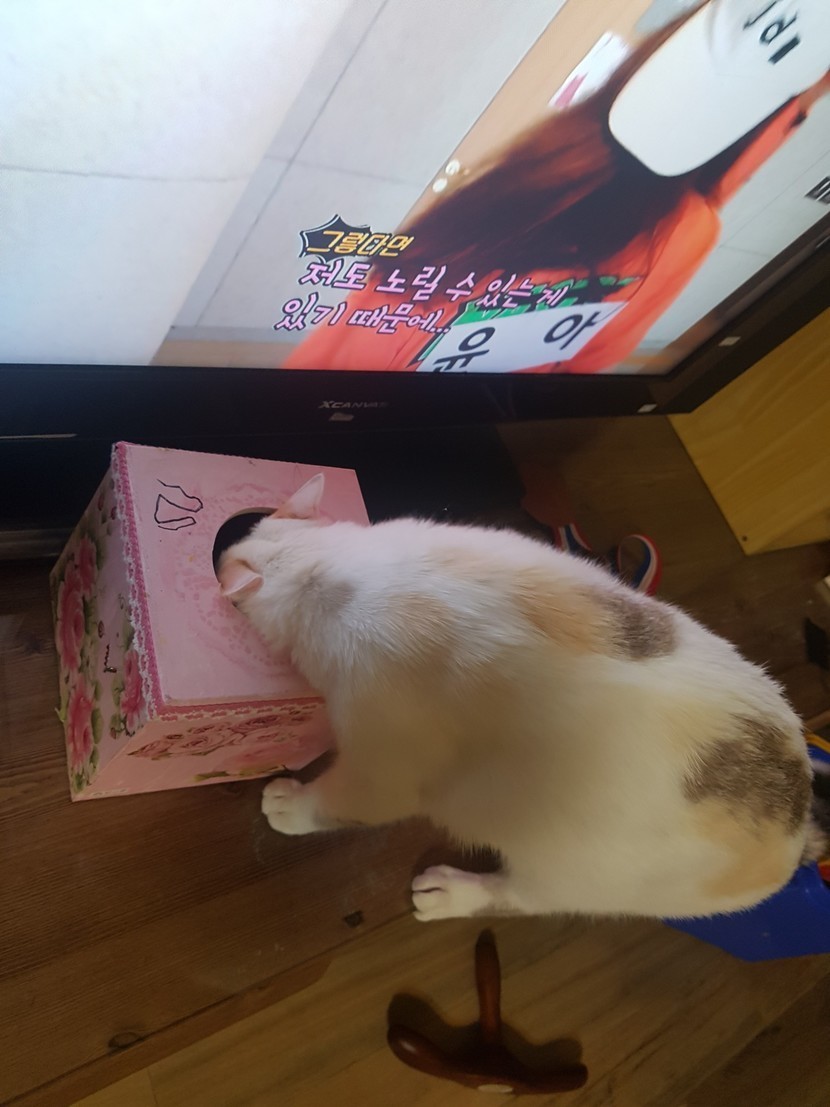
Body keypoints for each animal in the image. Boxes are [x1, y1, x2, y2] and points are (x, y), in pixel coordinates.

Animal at [218, 474, 827, 922]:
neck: (324, 564)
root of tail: (798, 832)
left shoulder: (383, 762)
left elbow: (340, 800)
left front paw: (292, 805)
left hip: (574, 874)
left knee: (524, 899)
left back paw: (449, 895)